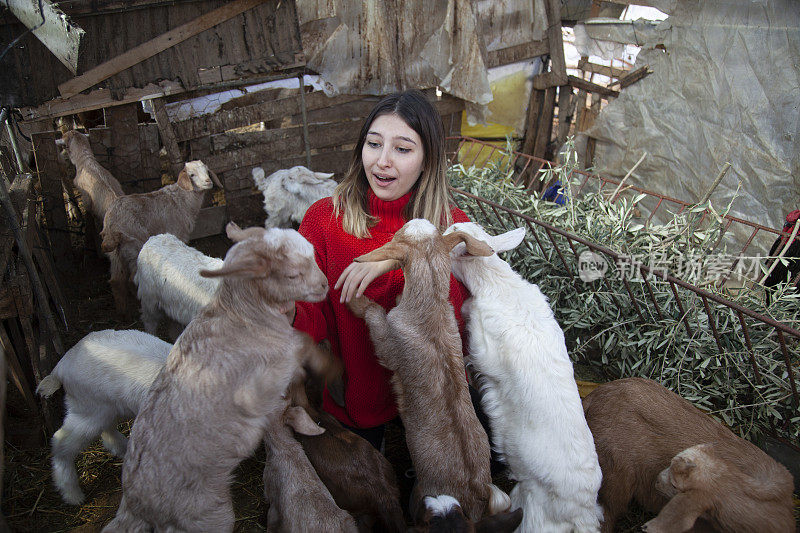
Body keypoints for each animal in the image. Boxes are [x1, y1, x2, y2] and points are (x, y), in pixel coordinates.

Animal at [36, 326, 171, 504]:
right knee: (61, 441)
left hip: (111, 408)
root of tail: (61, 366)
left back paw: (123, 449)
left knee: (107, 430)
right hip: (88, 411)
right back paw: (72, 494)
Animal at [102, 221, 334, 532]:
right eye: (292, 274)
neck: (244, 314)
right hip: (208, 516)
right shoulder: (270, 373)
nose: (325, 286)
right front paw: (327, 366)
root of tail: (136, 502)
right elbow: (302, 347)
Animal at [348, 218, 512, 520]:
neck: (430, 307)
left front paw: (357, 300)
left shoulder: (388, 343)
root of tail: (478, 490)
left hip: (421, 497)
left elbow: (374, 315)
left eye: (397, 236)